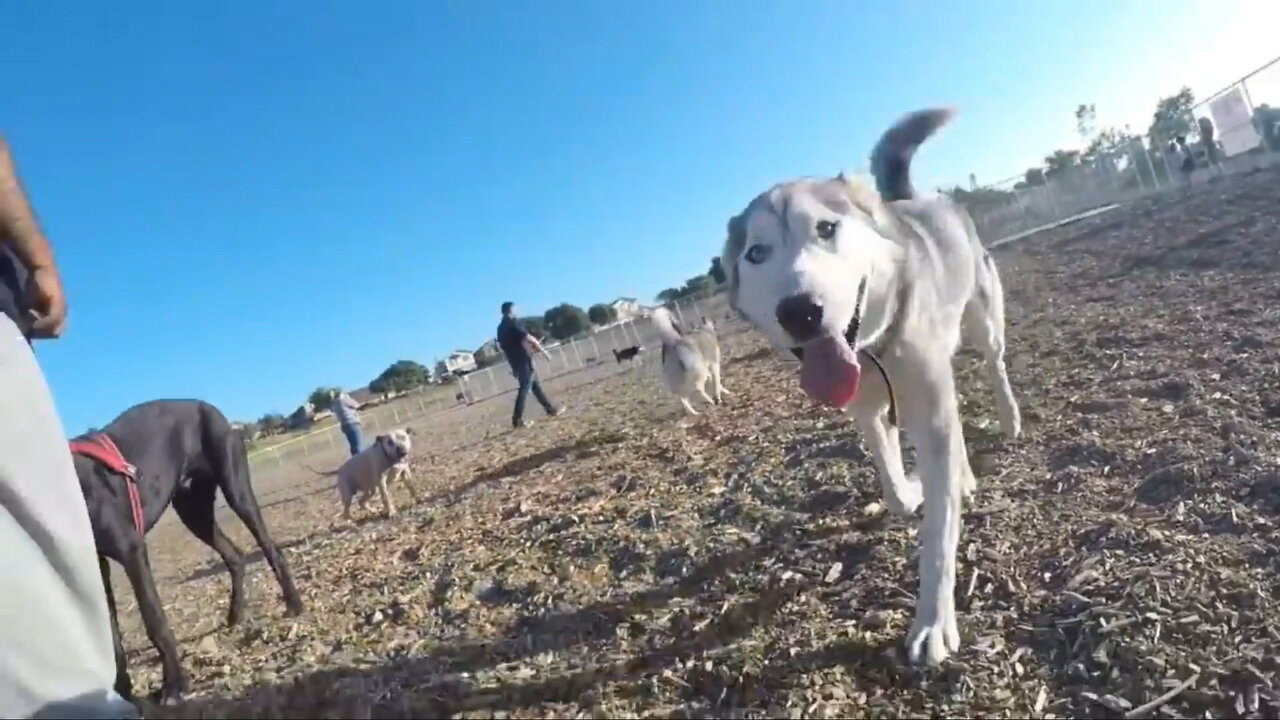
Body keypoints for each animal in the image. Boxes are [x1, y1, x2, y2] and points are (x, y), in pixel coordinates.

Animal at [721, 107, 1018, 666]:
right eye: (757, 253)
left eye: (826, 228)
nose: (799, 310)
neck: (873, 350)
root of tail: (918, 198)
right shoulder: (869, 410)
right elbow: (895, 482)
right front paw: (912, 488)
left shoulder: (930, 409)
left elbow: (938, 534)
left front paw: (933, 623)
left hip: (984, 322)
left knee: (996, 366)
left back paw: (1009, 419)